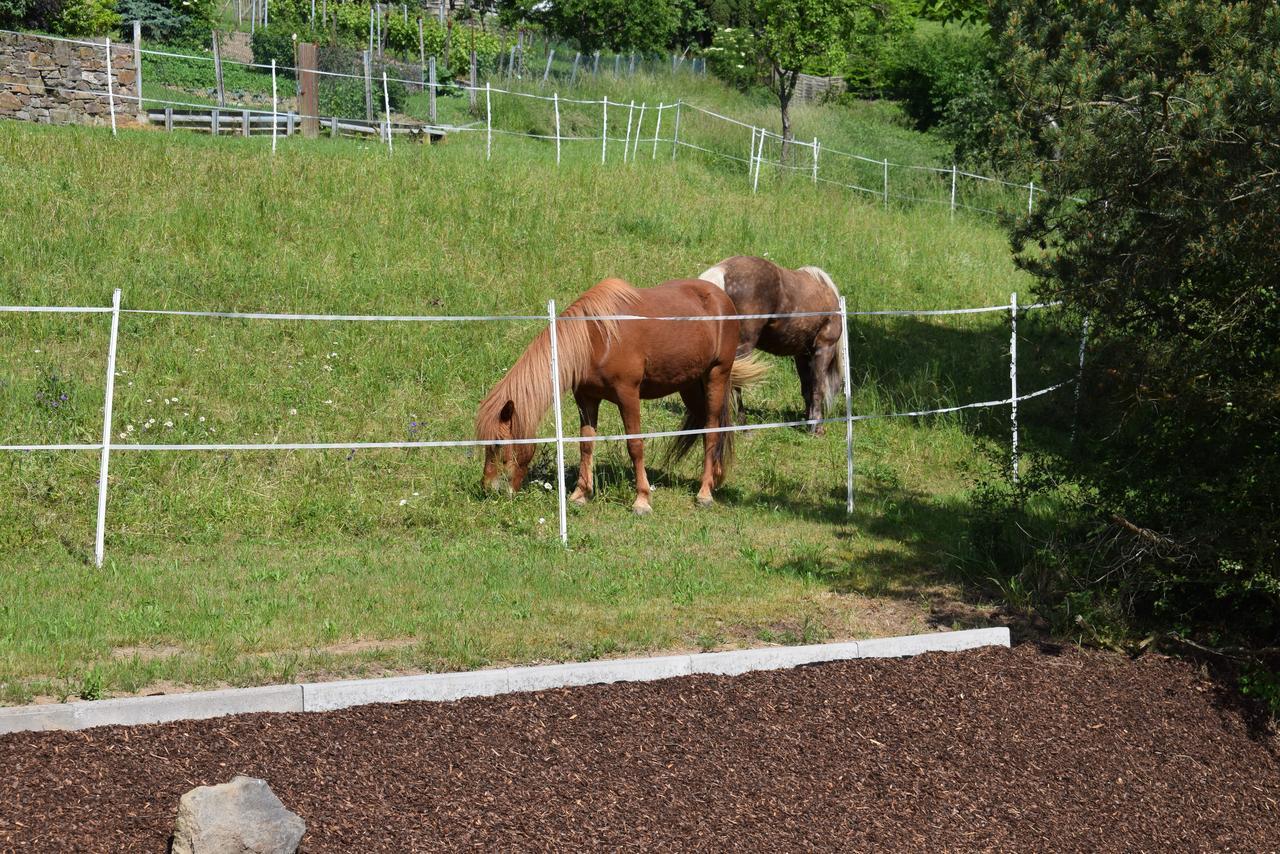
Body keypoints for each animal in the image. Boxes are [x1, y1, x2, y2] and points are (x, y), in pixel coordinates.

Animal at [476, 280, 762, 514]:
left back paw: (704, 493)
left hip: (716, 375)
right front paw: (580, 494)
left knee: (713, 431)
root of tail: (721, 297)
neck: (595, 339)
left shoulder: (628, 396)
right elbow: (586, 444)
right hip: (689, 385)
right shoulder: (587, 399)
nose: (488, 488)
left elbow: (635, 446)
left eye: (499, 444)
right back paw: (715, 478)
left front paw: (642, 500)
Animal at [696, 256, 844, 435]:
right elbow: (817, 387)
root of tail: (721, 271)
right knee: (735, 385)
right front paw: (816, 427)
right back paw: (744, 427)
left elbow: (807, 388)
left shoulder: (801, 354)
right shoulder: (824, 348)